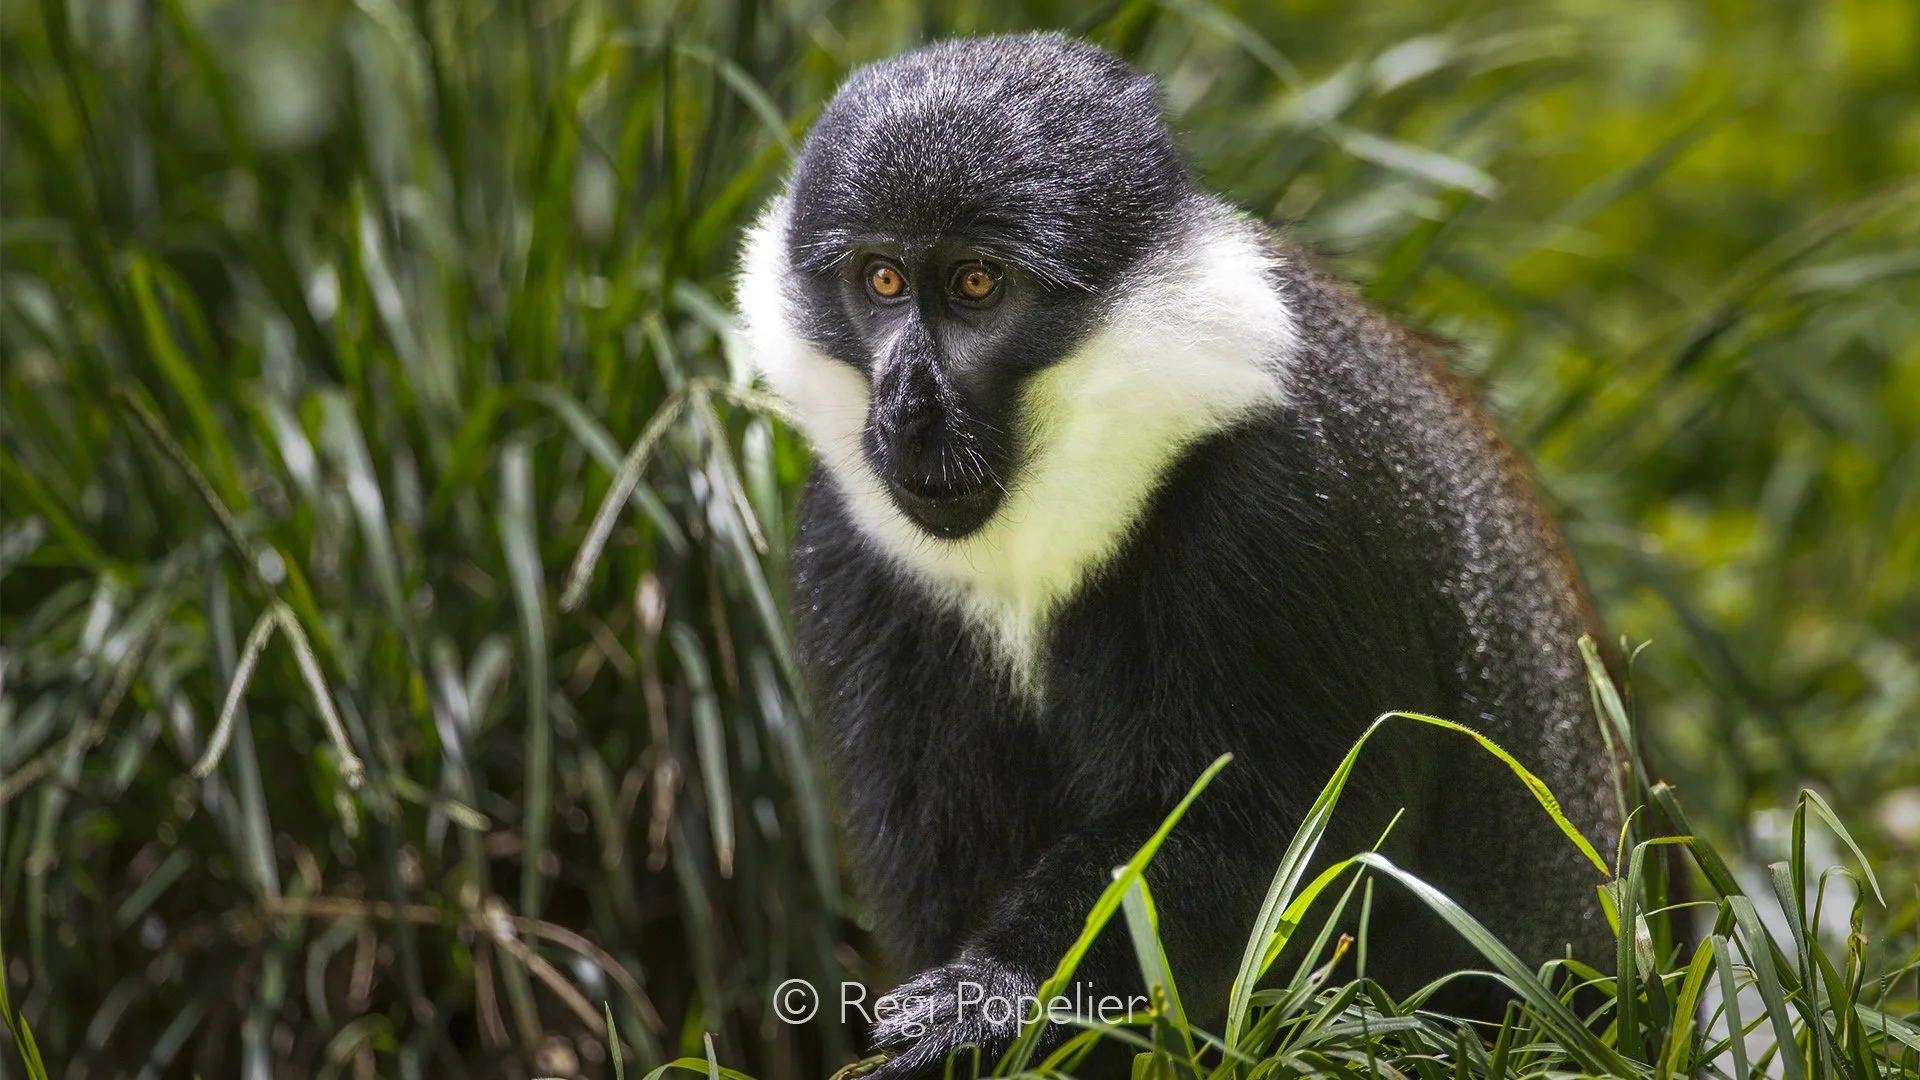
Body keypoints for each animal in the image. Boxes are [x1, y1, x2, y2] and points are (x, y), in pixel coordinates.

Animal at [735, 32, 1621, 1078]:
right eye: (880, 279)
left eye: (976, 284)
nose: (908, 407)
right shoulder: (857, 554)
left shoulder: (1275, 511)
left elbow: (1267, 841)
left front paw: (988, 1000)